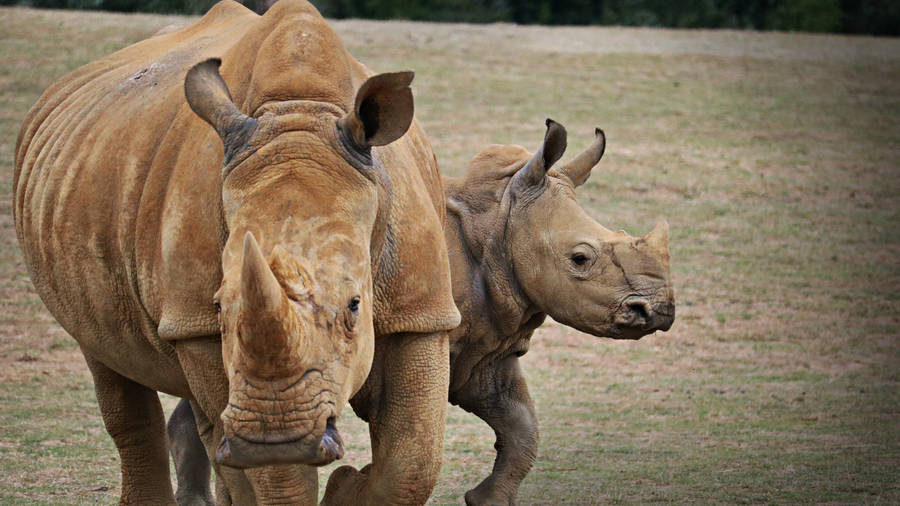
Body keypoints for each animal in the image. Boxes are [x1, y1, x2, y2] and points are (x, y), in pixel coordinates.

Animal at [13, 0, 460, 504]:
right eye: (219, 306)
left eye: (354, 305)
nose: (275, 435)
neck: (299, 113)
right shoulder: (196, 323)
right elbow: (278, 479)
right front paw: (305, 473)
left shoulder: (420, 310)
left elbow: (412, 459)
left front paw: (346, 486)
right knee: (109, 360)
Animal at [169, 119, 675, 504]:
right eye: (580, 259)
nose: (658, 311)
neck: (497, 225)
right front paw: (348, 488)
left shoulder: (483, 353)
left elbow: (522, 427)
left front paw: (485, 499)